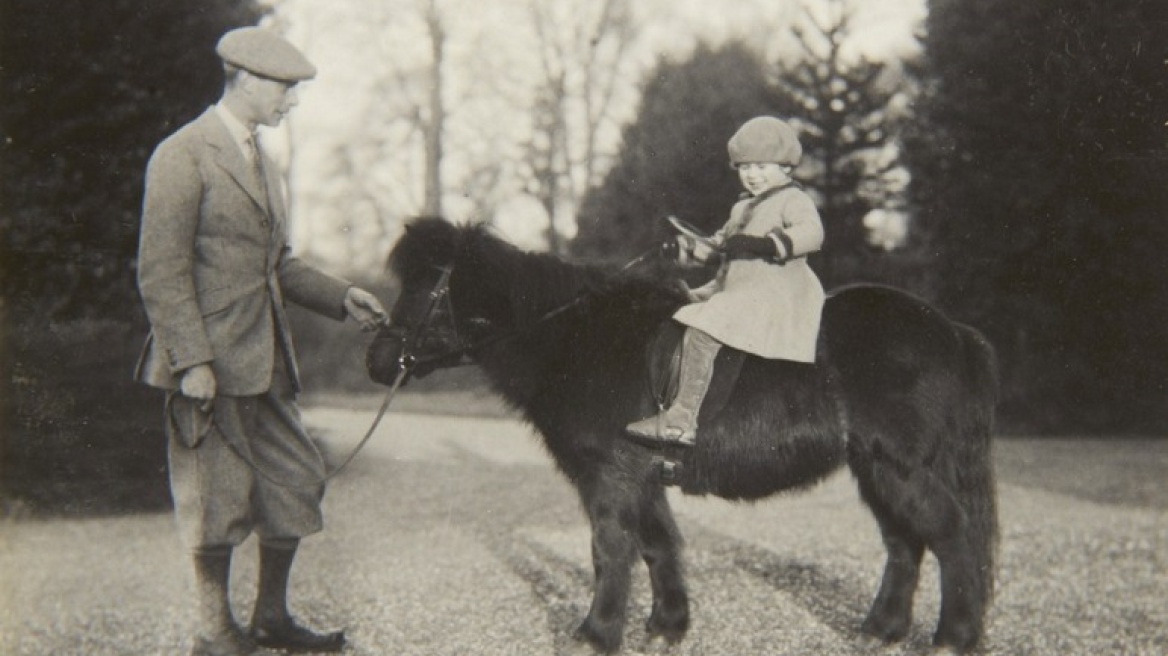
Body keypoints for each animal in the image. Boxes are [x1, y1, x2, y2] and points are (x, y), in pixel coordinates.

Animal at [369, 217, 999, 648]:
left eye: (424, 288)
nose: (377, 360)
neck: (576, 336)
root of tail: (950, 329)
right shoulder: (642, 478)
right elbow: (657, 546)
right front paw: (666, 625)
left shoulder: (609, 477)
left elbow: (611, 549)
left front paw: (597, 633)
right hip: (876, 468)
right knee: (905, 543)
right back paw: (881, 628)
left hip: (899, 466)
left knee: (950, 534)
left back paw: (954, 637)